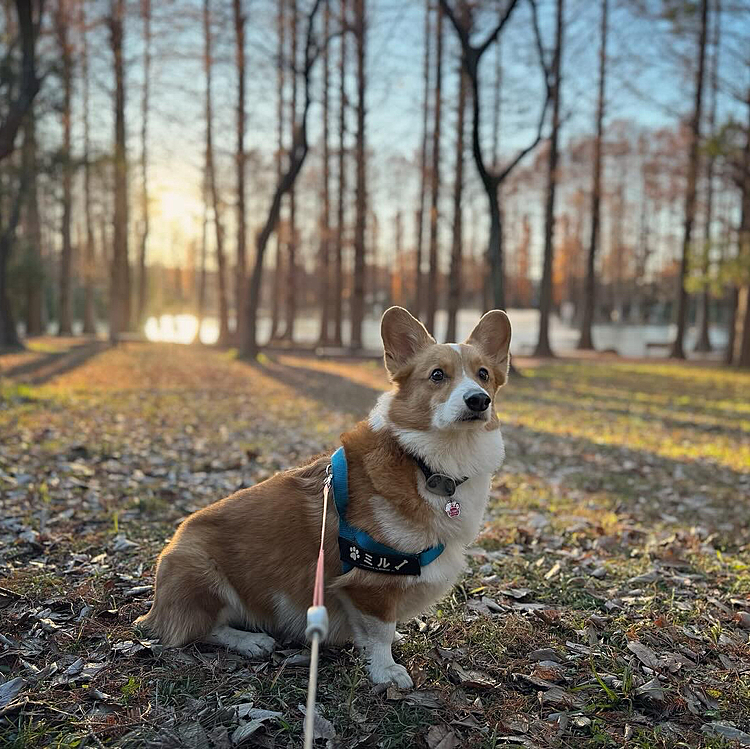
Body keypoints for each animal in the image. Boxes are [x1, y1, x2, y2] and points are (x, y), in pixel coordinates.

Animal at [137, 304, 512, 684]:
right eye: (437, 375)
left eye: (483, 374)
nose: (478, 400)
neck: (428, 462)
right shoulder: (370, 583)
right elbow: (380, 631)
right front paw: (386, 670)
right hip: (200, 571)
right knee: (196, 629)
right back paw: (249, 640)